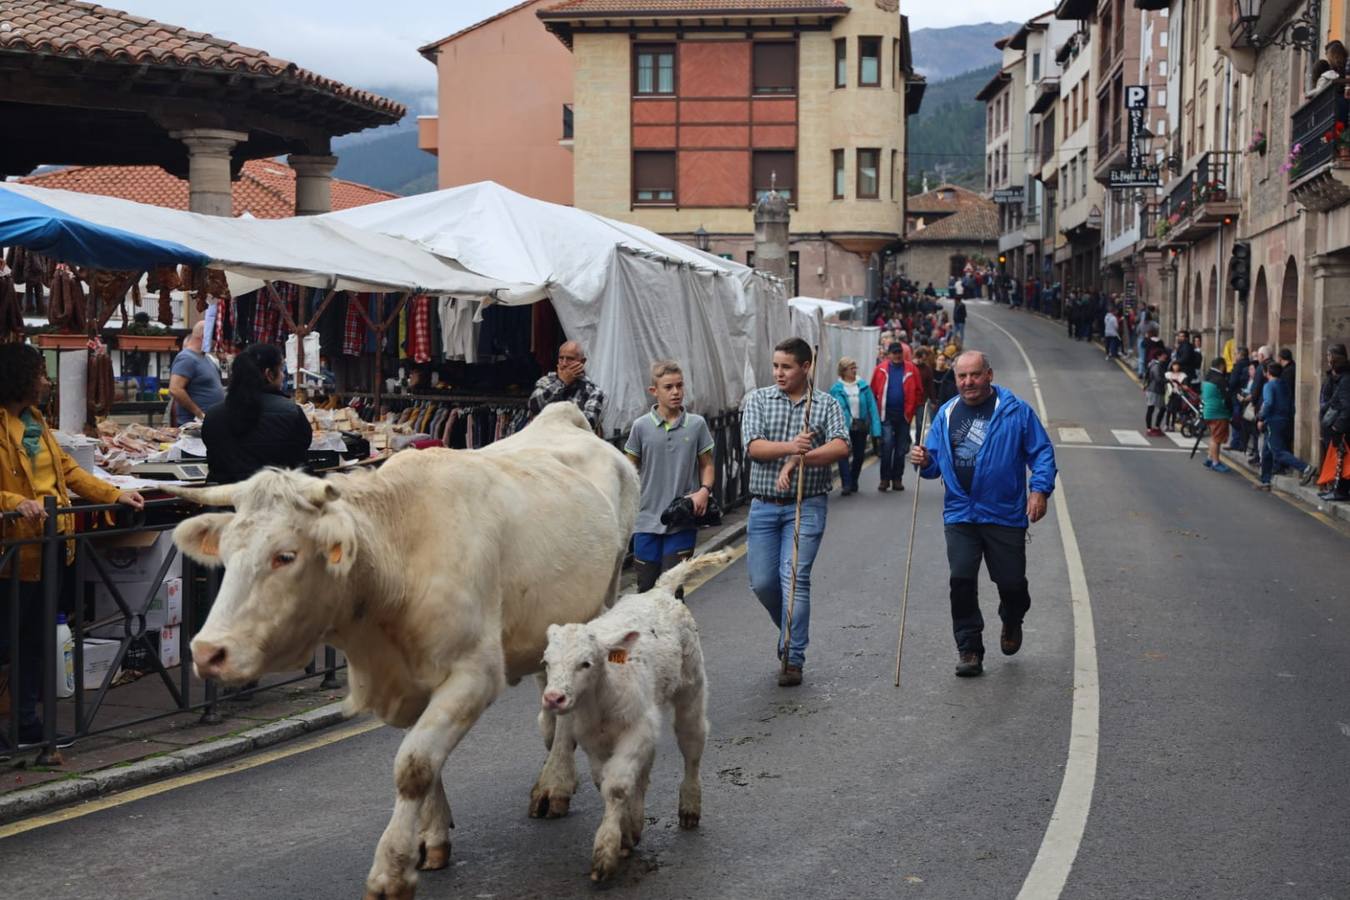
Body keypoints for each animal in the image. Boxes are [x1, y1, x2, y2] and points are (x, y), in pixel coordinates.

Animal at [170, 404, 637, 895]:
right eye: (225, 553)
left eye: (286, 555)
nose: (208, 651)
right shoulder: (407, 680)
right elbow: (426, 762)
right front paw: (429, 839)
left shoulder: (474, 674)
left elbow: (413, 766)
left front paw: (391, 869)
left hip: (600, 598)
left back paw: (554, 784)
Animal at [540, 553, 729, 885]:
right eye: (547, 662)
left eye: (585, 663)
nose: (554, 698)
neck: (601, 699)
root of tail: (659, 591)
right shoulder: (594, 742)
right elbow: (605, 782)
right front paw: (626, 832)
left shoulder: (637, 730)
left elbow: (616, 786)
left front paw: (605, 853)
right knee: (645, 771)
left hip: (691, 689)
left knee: (692, 744)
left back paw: (690, 807)